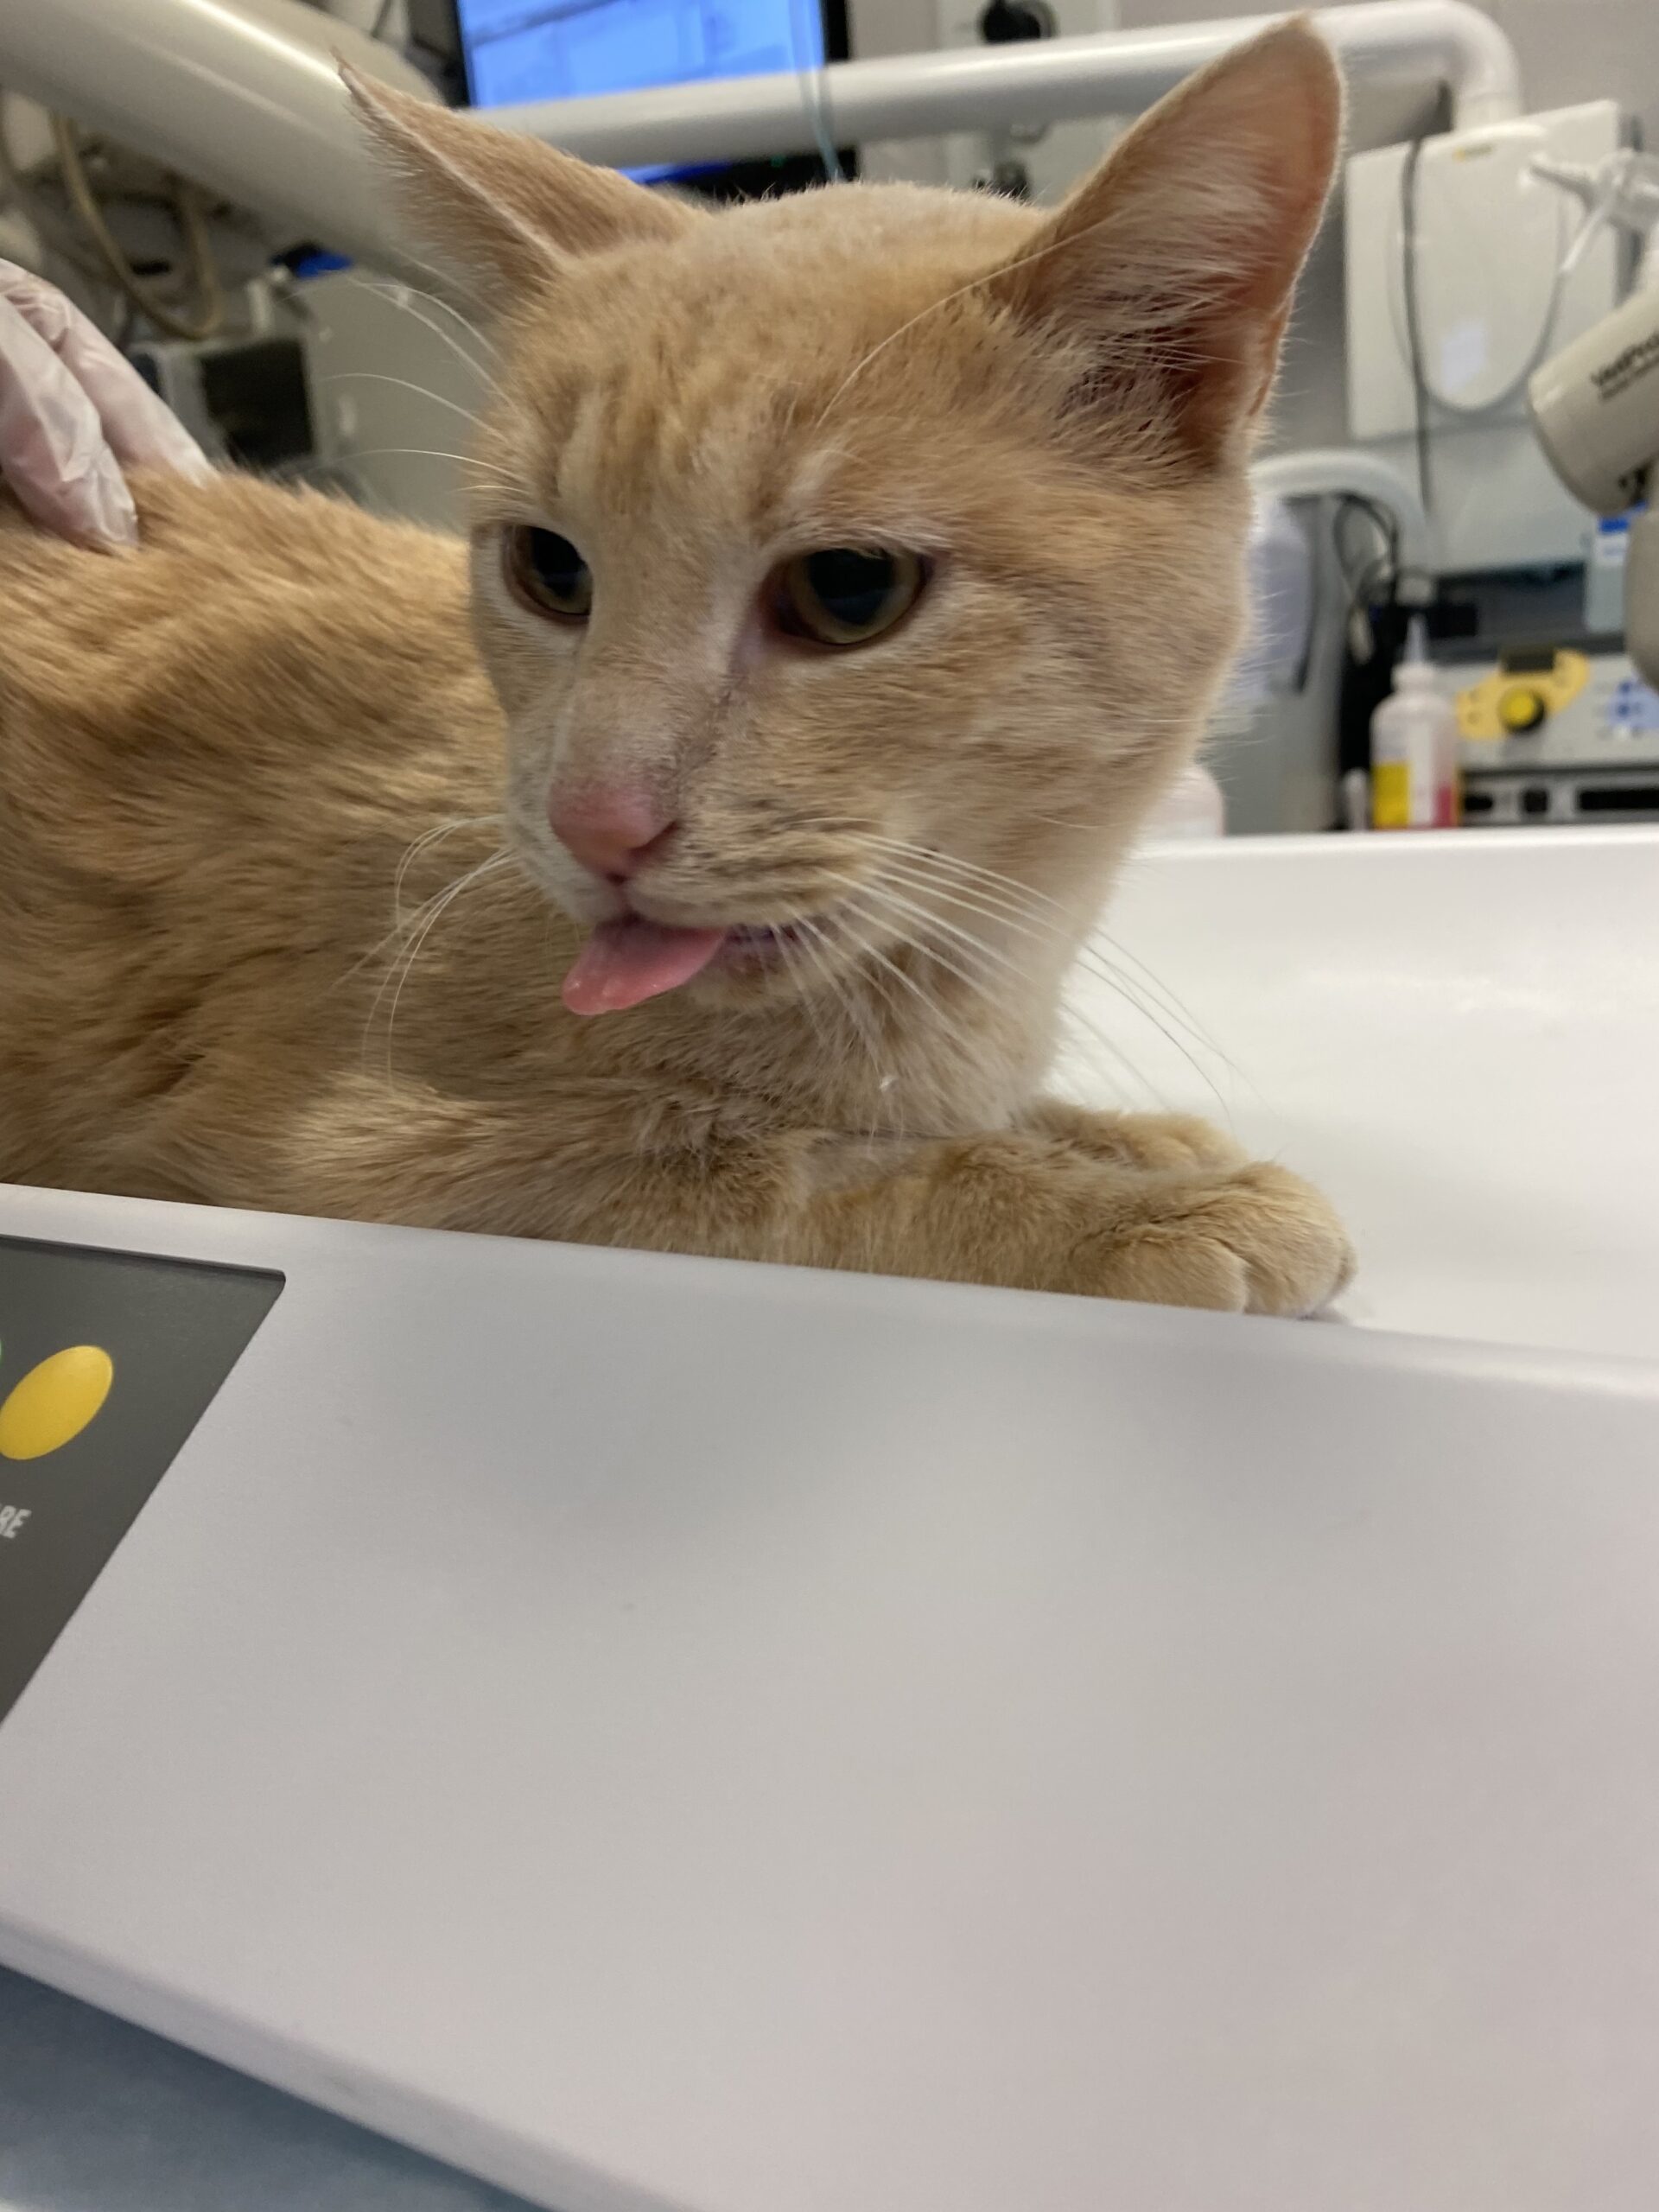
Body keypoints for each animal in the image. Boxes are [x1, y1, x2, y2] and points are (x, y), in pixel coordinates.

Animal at [0, 26, 1353, 1309]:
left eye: (847, 589)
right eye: (551, 568)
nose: (594, 824)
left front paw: (1124, 1139)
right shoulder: (377, 1162)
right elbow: (827, 1184)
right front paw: (1126, 1206)